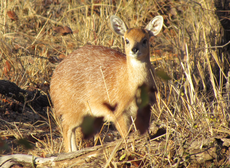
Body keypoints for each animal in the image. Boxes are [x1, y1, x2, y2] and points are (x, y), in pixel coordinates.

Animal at [49, 15, 164, 152]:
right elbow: (126, 136)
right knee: (66, 127)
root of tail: (52, 83)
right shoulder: (118, 112)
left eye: (145, 40)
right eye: (126, 40)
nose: (134, 49)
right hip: (74, 109)